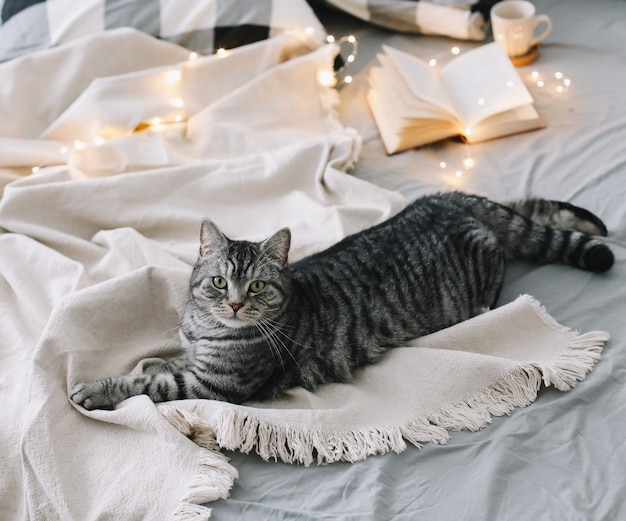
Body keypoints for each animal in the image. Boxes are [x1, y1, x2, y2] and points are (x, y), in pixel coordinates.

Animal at [70, 192, 612, 410]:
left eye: (258, 287)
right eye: (220, 283)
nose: (237, 305)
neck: (208, 330)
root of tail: (443, 198)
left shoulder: (215, 387)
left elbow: (149, 385)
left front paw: (95, 389)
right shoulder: (195, 361)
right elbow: (161, 365)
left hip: (482, 268)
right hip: (498, 211)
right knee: (528, 208)